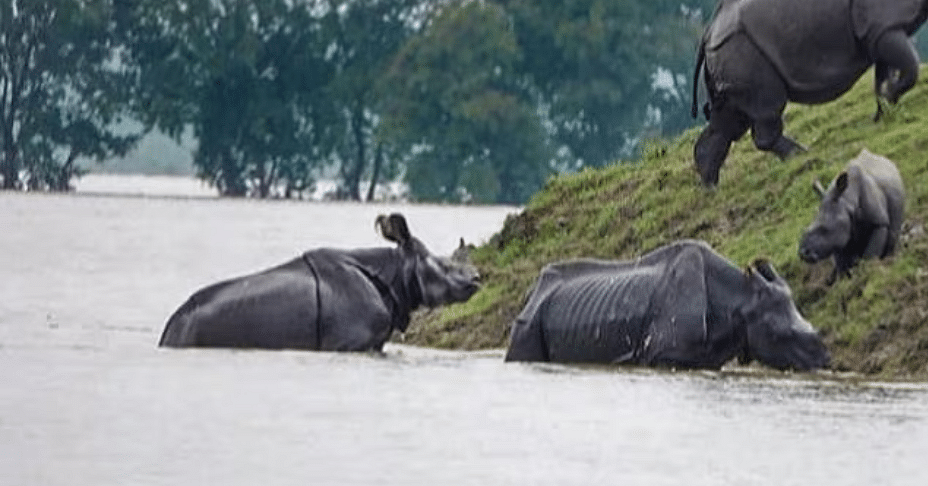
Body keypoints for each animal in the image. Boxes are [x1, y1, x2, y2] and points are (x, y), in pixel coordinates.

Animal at [504, 240, 832, 372]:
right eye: (781, 336)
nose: (825, 362)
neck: (739, 300)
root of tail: (532, 291)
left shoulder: (706, 356)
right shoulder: (665, 355)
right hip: (530, 320)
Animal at [796, 148, 908, 280]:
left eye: (824, 229)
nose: (803, 254)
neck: (847, 201)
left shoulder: (879, 223)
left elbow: (871, 253)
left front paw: (867, 271)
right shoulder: (838, 237)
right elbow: (841, 262)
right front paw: (844, 279)